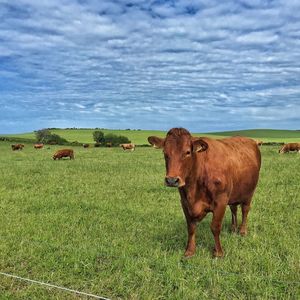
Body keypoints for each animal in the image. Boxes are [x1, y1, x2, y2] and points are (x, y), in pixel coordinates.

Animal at [149, 127, 262, 256]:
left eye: (187, 152)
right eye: (165, 153)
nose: (172, 180)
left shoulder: (221, 200)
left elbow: (215, 227)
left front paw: (218, 252)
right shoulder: (184, 202)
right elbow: (191, 227)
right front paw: (189, 251)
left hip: (249, 192)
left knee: (245, 210)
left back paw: (242, 231)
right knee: (234, 208)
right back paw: (233, 229)